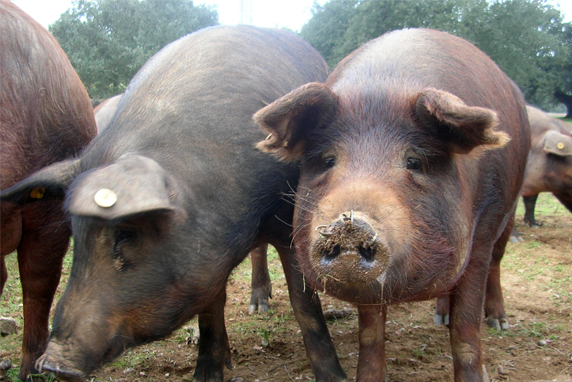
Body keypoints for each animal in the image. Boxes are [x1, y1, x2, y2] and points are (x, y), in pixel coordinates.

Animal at [255, 27, 532, 382]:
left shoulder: (483, 228)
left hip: (509, 210)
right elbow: (371, 333)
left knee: (496, 264)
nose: (350, 224)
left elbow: (465, 330)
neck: (385, 85)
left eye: (414, 161)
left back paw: (498, 322)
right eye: (328, 160)